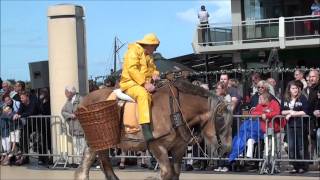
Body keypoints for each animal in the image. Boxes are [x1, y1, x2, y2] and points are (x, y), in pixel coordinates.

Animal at [74, 80, 231, 180]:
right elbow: (167, 174)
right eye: (220, 120)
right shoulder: (157, 146)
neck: (174, 108)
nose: (227, 150)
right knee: (84, 170)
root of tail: (83, 101)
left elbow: (175, 174)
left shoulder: (179, 148)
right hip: (96, 141)